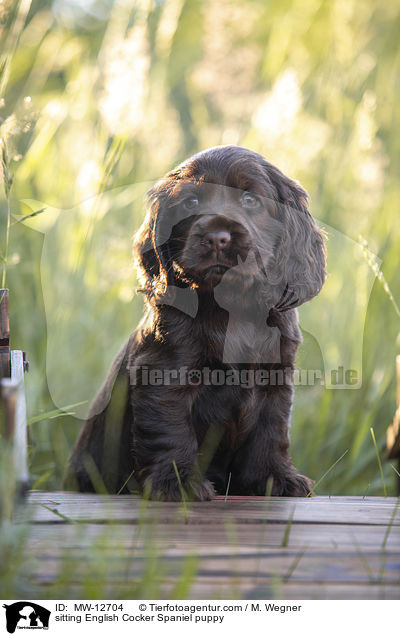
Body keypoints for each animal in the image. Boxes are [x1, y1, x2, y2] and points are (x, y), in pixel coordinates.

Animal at [64, 147, 326, 500]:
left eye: (250, 199)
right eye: (191, 202)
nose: (217, 238)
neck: (232, 305)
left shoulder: (276, 376)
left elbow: (271, 430)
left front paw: (276, 478)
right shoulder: (165, 370)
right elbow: (171, 429)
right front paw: (179, 483)